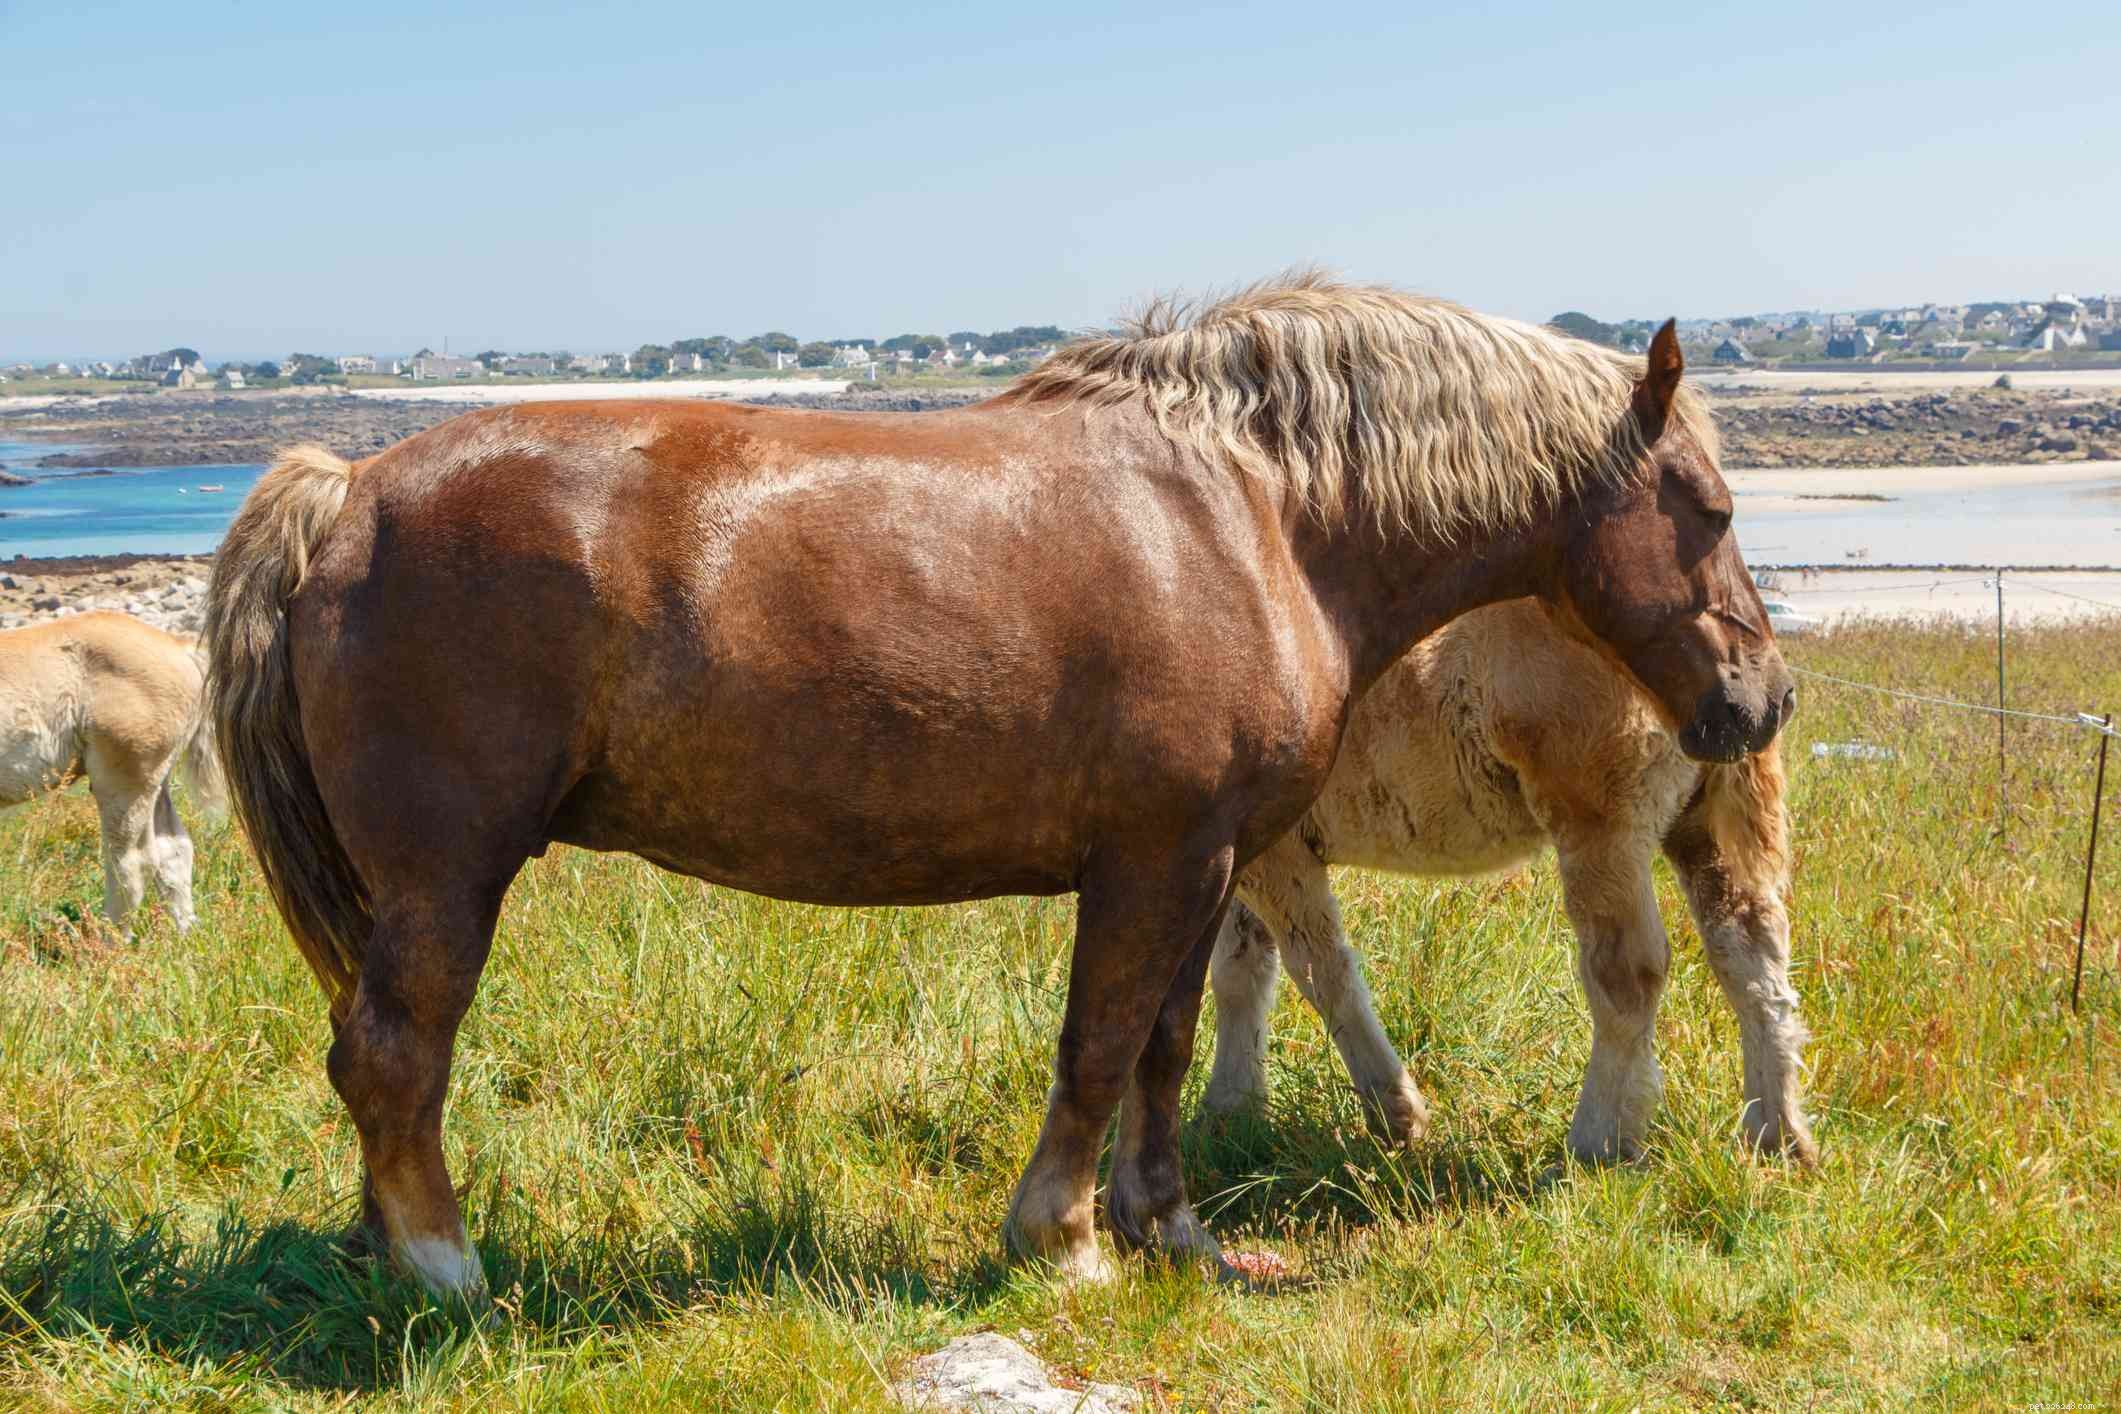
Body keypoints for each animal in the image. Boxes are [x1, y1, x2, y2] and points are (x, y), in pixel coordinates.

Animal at [0, 611, 226, 932]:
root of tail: (178, 646)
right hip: (156, 780)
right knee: (174, 851)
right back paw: (186, 937)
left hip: (125, 780)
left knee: (133, 863)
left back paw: (107, 942)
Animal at [1200, 597, 1815, 1166]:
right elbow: (1240, 971)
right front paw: (1231, 1110)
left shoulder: (1274, 852)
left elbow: (1319, 972)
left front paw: (1395, 1113)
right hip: (1702, 818)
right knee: (1750, 953)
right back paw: (1777, 1135)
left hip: (1601, 817)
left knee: (1628, 972)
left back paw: (1597, 1141)